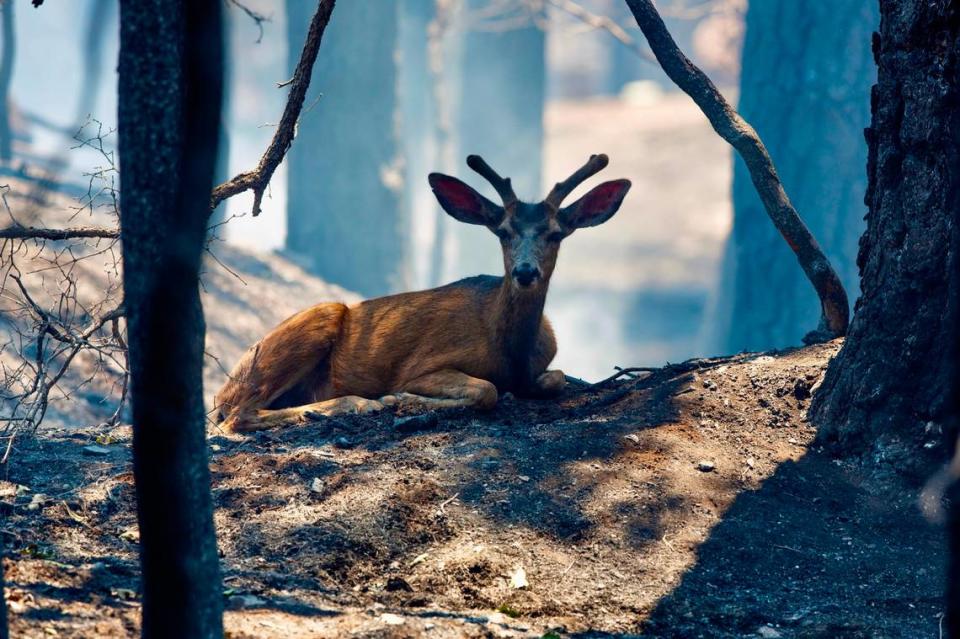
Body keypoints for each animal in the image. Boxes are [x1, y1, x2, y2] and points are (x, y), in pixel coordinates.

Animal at [215, 155, 632, 436]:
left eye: (555, 234)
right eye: (503, 231)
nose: (525, 272)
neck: (510, 351)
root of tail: (223, 392)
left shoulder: (544, 366)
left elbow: (555, 378)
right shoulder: (424, 365)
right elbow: (486, 390)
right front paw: (400, 399)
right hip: (315, 320)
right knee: (238, 417)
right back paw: (357, 404)